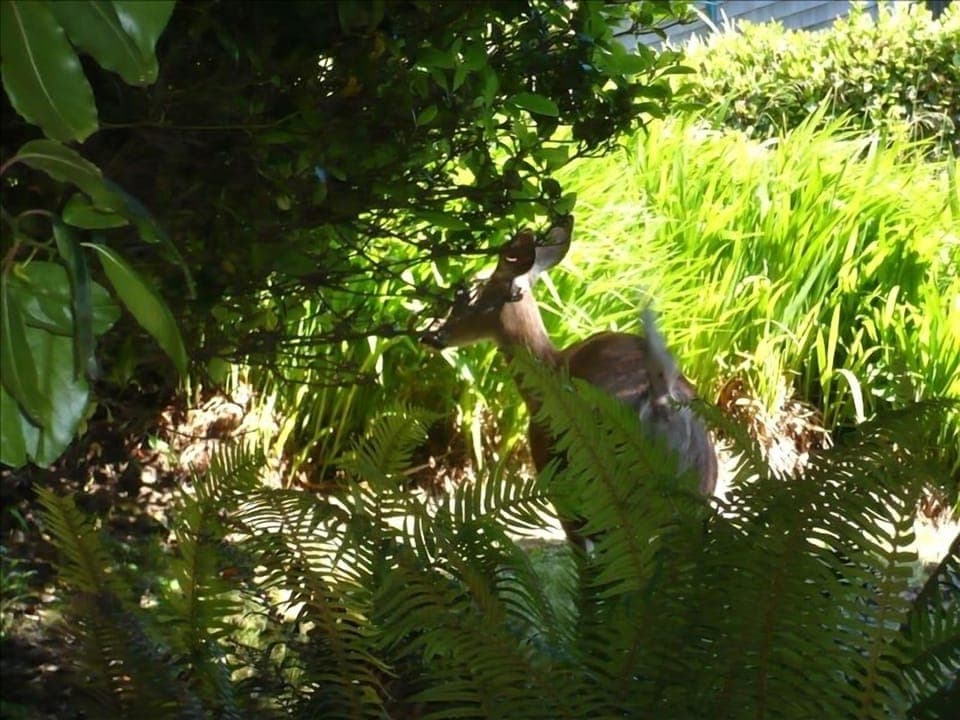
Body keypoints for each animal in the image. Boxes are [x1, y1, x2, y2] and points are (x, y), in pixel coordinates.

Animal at [420, 216, 717, 548]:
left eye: (467, 292)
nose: (431, 333)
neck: (550, 366)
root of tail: (660, 401)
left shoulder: (553, 472)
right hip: (697, 497)